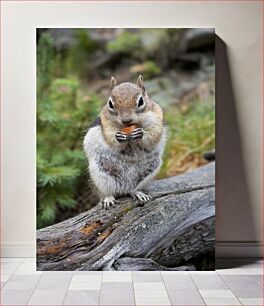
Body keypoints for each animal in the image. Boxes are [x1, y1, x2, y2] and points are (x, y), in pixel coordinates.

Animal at [83, 76, 165, 209]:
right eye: (110, 103)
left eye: (141, 101)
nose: (126, 120)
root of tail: (123, 189)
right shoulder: (105, 123)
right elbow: (110, 136)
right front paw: (118, 137)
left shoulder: (156, 117)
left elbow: (153, 133)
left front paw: (141, 134)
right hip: (100, 173)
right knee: (107, 191)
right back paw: (108, 199)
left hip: (150, 170)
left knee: (132, 189)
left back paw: (138, 194)